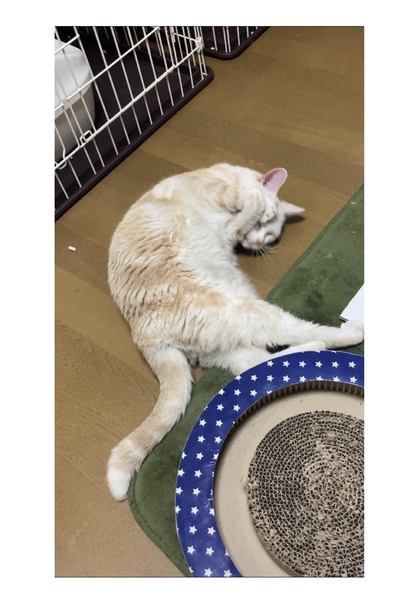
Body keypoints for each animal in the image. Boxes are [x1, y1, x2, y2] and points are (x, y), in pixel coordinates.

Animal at [107, 163, 363, 501]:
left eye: (270, 234)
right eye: (265, 222)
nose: (256, 244)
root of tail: (147, 339)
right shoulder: (222, 192)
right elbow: (246, 202)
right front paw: (246, 209)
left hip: (229, 335)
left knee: (261, 364)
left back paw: (317, 346)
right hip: (238, 312)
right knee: (286, 338)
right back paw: (345, 333)